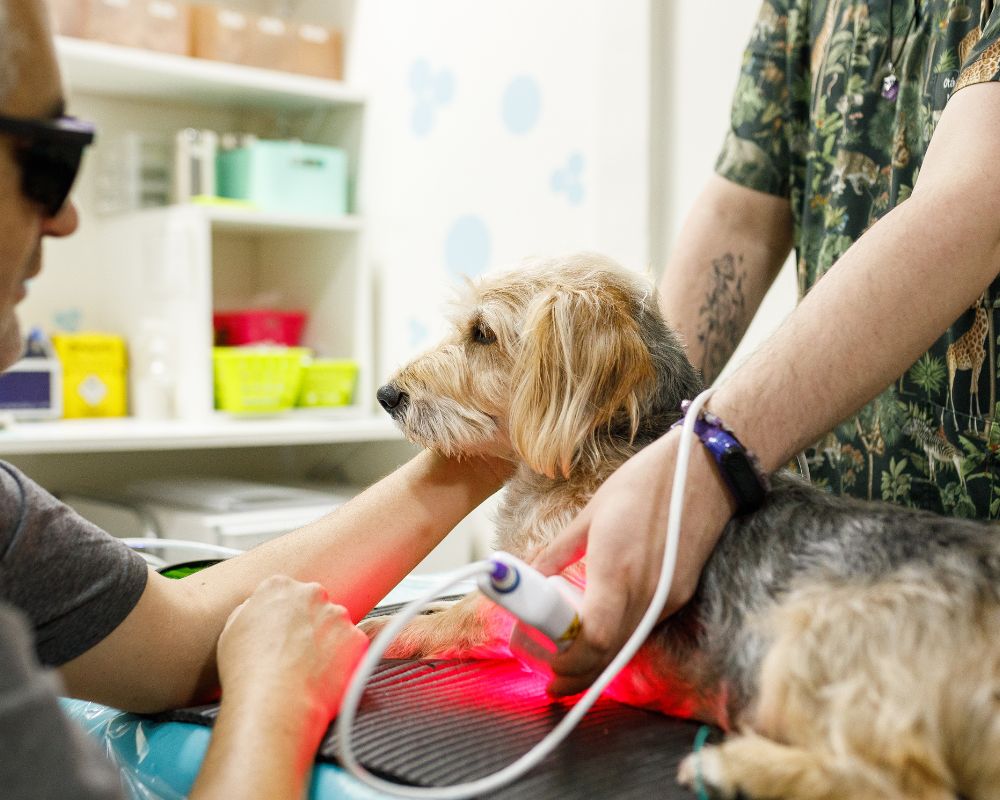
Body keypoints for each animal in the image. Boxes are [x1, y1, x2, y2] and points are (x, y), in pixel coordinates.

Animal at [370, 252, 1000, 800]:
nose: (386, 394)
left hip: (810, 638)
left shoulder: (560, 588)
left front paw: (381, 632)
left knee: (905, 784)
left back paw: (737, 768)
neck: (598, 445)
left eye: (482, 334)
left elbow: (454, 619)